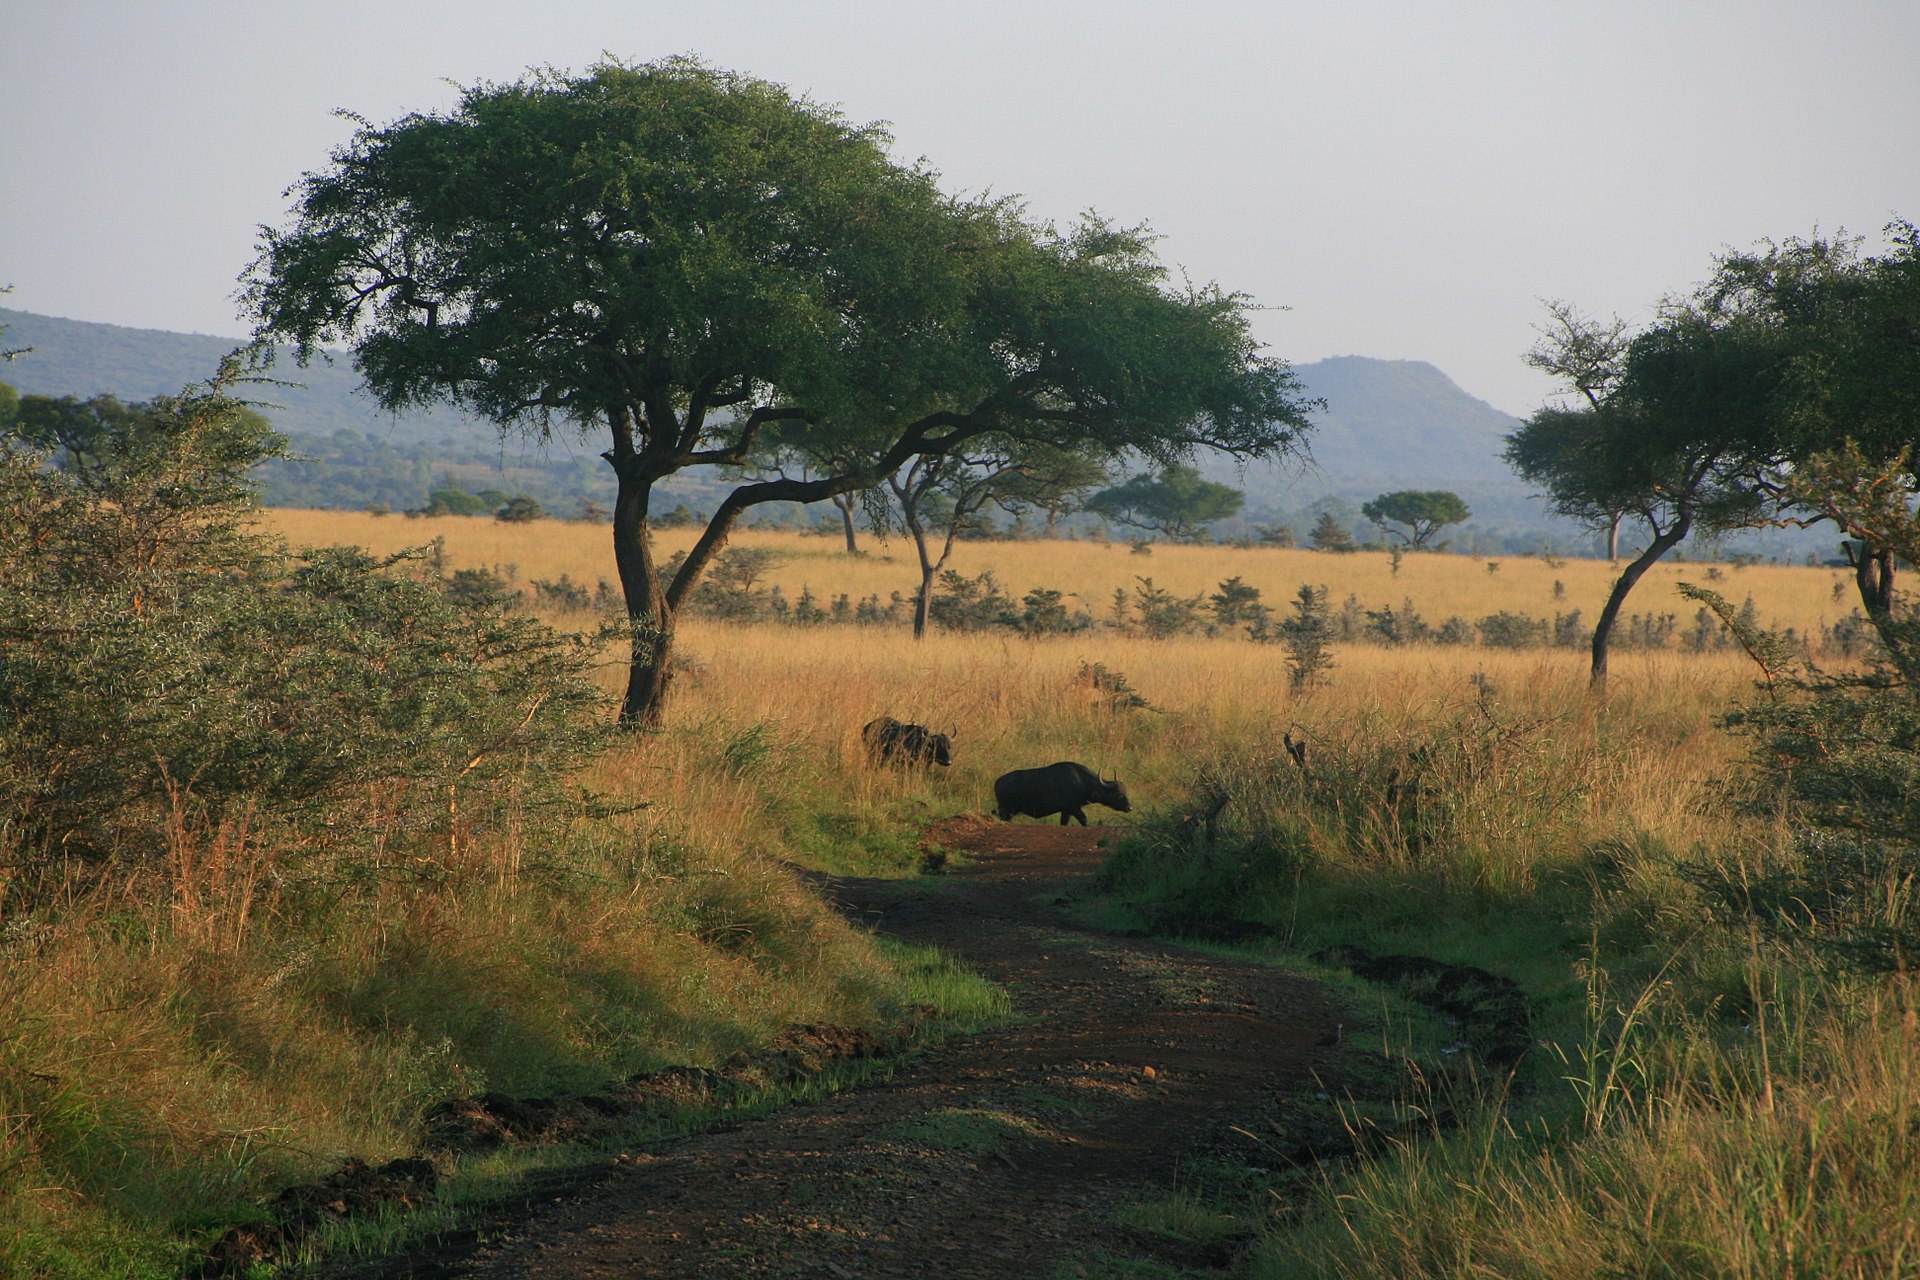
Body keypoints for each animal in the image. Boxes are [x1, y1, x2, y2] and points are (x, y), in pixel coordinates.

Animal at [998, 759, 1128, 832]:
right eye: (1119, 794)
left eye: (1125, 792)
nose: (1129, 807)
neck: (1082, 782)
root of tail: (997, 783)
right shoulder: (1073, 808)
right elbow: (1085, 820)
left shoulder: (1066, 811)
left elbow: (1064, 823)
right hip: (1007, 811)